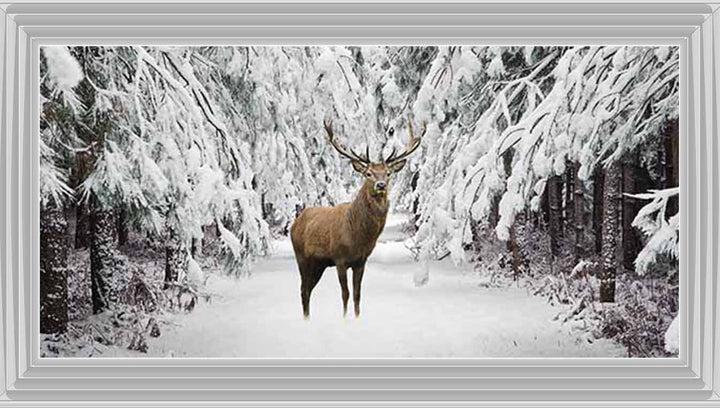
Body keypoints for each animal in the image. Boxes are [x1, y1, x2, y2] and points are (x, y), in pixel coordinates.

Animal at [290, 119, 425, 319]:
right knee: (303, 289)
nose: (381, 185)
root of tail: (296, 221)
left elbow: (357, 294)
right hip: (301, 256)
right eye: (368, 173)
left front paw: (357, 318)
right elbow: (345, 294)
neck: (358, 237)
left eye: (388, 173)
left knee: (308, 289)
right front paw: (345, 319)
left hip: (319, 263)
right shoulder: (339, 258)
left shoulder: (361, 261)